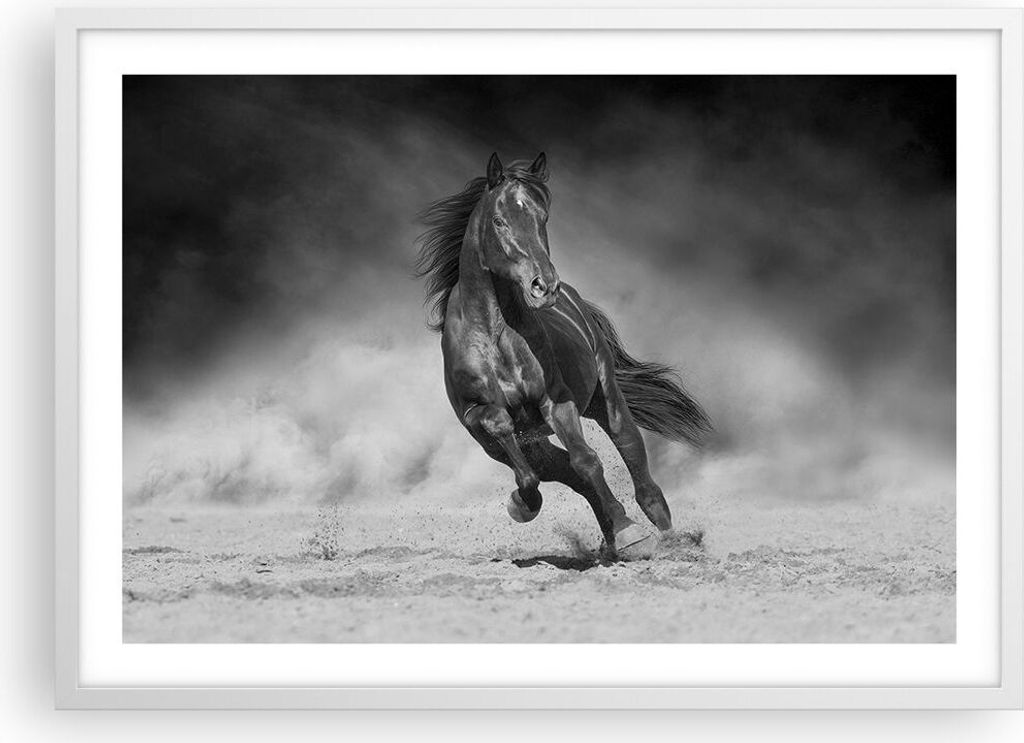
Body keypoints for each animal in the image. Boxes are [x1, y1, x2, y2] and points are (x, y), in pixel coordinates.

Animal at [415, 152, 711, 556]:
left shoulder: (556, 403)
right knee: (561, 471)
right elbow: (517, 447)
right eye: (499, 220)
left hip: (605, 398)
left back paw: (664, 535)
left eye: (543, 217)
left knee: (631, 454)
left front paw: (630, 533)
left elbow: (587, 461)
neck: (494, 335)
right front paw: (522, 504)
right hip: (521, 443)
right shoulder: (476, 417)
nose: (544, 286)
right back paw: (608, 537)